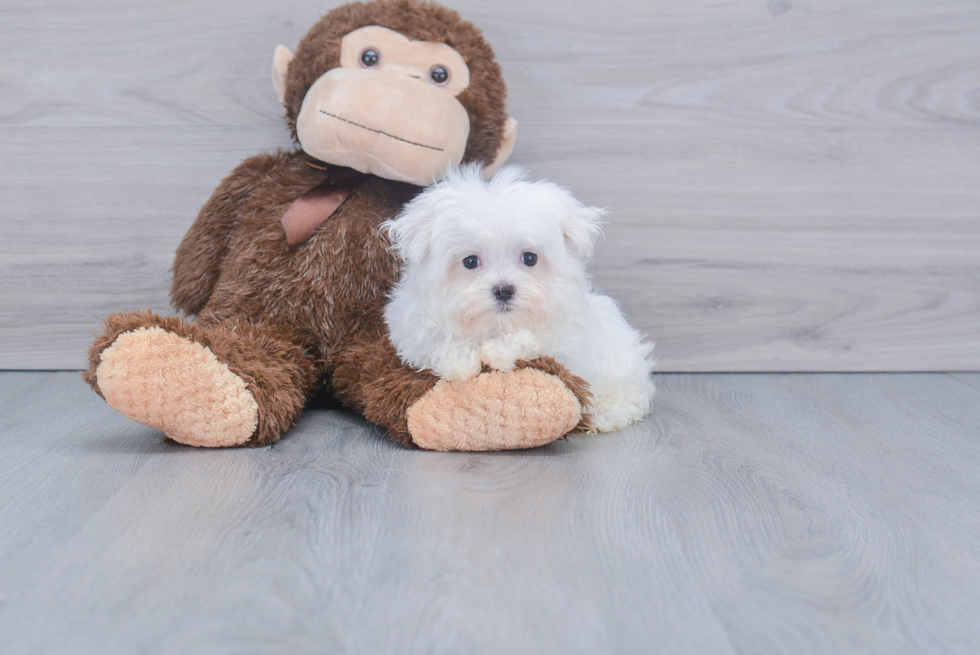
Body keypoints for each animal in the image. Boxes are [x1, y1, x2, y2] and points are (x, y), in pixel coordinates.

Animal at [380, 165, 652, 430]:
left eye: (529, 258)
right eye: (470, 262)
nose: (504, 290)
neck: (497, 327)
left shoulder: (565, 340)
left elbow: (532, 341)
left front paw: (499, 351)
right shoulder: (416, 333)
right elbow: (440, 345)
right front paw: (461, 361)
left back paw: (605, 414)